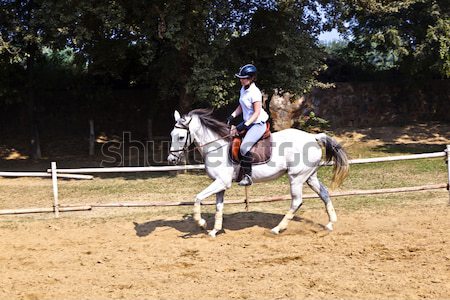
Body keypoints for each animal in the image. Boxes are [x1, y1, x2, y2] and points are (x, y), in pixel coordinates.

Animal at [167, 109, 350, 238]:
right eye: (172, 135)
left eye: (181, 137)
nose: (171, 159)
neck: (217, 146)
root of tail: (313, 137)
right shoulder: (220, 185)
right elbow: (218, 207)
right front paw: (214, 231)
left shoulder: (221, 182)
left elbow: (198, 197)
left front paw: (201, 223)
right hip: (310, 177)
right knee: (324, 193)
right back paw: (330, 224)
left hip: (296, 178)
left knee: (297, 202)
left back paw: (277, 229)